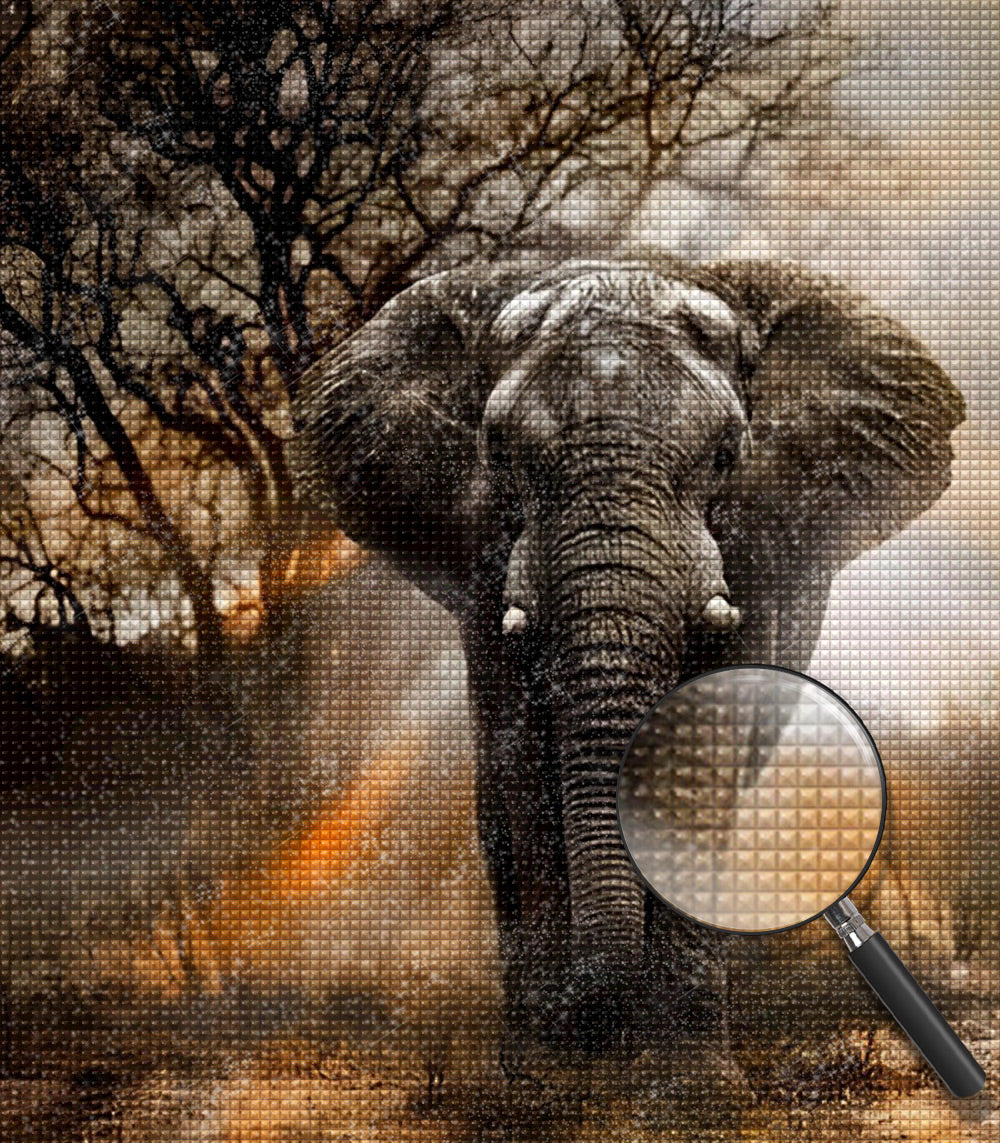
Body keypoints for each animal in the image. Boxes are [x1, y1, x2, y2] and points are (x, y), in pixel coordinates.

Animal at [290, 257, 964, 1053]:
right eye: (500, 456)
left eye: (726, 457)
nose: (599, 1008)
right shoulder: (483, 554)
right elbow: (521, 755)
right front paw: (554, 1057)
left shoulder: (760, 539)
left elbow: (703, 742)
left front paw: (681, 1054)